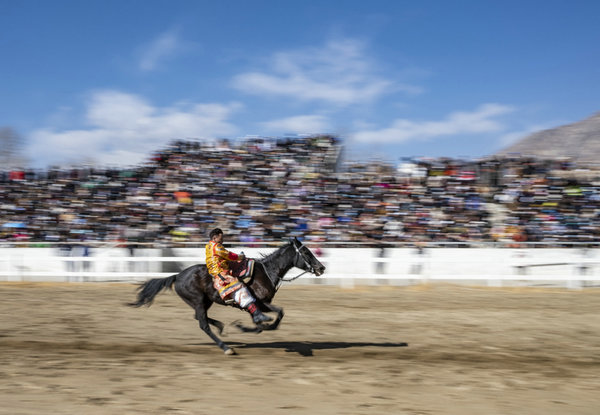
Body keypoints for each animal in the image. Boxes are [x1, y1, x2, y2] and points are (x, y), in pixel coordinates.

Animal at [129, 239, 326, 356]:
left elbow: (270, 318)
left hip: (204, 301)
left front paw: (245, 326)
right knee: (203, 324)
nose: (321, 268)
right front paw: (246, 326)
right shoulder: (260, 303)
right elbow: (269, 318)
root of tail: (177, 275)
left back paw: (221, 326)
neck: (266, 272)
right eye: (306, 253)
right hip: (198, 301)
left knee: (199, 318)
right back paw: (226, 347)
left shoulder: (261, 305)